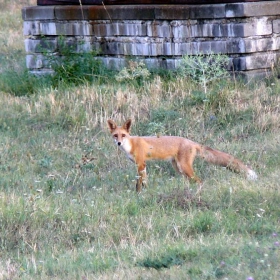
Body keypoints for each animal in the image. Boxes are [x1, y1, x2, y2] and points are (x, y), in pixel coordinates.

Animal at [107, 118, 258, 192]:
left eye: (123, 135)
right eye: (115, 135)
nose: (119, 143)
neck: (131, 144)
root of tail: (192, 141)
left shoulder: (141, 164)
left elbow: (139, 183)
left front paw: (138, 194)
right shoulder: (141, 166)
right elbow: (144, 182)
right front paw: (143, 193)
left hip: (184, 167)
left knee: (200, 181)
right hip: (179, 168)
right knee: (190, 182)